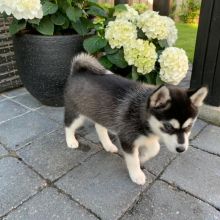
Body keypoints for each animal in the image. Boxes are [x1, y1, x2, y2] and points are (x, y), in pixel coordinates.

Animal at [64, 53, 208, 186]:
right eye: (168, 126)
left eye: (189, 126)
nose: (181, 149)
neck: (141, 115)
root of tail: (77, 72)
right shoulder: (127, 138)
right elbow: (133, 159)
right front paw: (137, 174)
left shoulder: (147, 137)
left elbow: (155, 149)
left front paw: (142, 157)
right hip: (76, 113)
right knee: (68, 126)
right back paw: (71, 141)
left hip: (101, 113)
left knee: (100, 127)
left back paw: (108, 145)